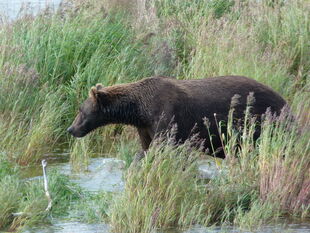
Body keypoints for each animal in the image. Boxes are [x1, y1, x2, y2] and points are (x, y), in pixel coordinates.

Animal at [66, 76, 286, 160]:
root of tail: (284, 100)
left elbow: (162, 146)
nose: (71, 129)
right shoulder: (145, 126)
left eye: (80, 110)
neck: (139, 110)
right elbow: (146, 147)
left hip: (260, 120)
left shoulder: (166, 116)